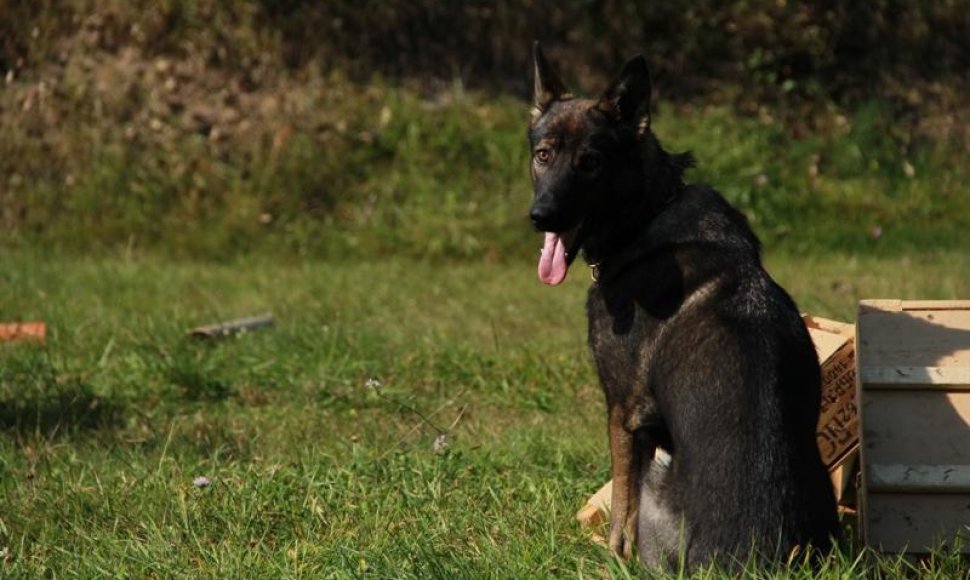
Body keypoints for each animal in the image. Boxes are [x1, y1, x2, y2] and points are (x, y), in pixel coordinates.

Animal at [524, 44, 836, 572]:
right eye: (544, 155)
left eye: (591, 163)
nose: (541, 216)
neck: (646, 213)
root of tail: (751, 561)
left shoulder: (624, 414)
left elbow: (622, 513)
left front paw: (612, 560)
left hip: (658, 474)